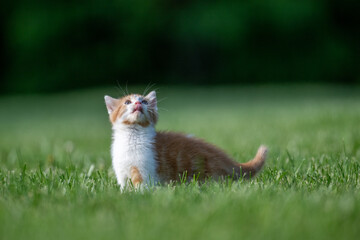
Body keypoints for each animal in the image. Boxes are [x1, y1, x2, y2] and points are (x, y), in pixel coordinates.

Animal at [104, 91, 268, 188]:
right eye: (127, 102)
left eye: (144, 102)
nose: (138, 103)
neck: (132, 137)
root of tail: (227, 161)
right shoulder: (122, 172)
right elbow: (124, 187)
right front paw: (125, 196)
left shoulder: (144, 169)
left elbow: (141, 186)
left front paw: (138, 196)